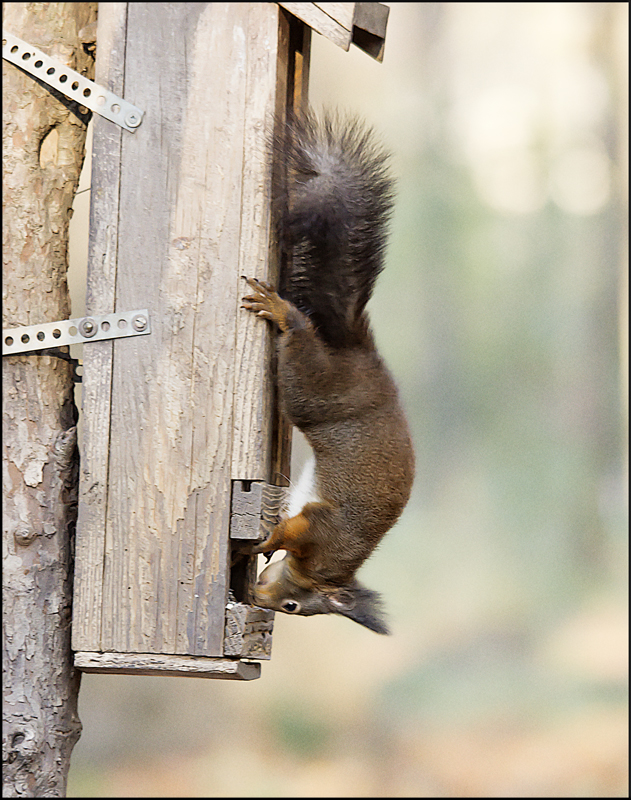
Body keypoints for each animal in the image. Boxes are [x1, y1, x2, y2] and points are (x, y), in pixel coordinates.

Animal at [242, 109, 414, 636]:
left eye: (291, 608)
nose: (256, 597)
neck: (326, 569)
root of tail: (361, 353)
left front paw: (264, 546)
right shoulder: (322, 527)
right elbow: (292, 528)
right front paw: (265, 542)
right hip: (313, 387)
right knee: (300, 345)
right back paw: (284, 312)